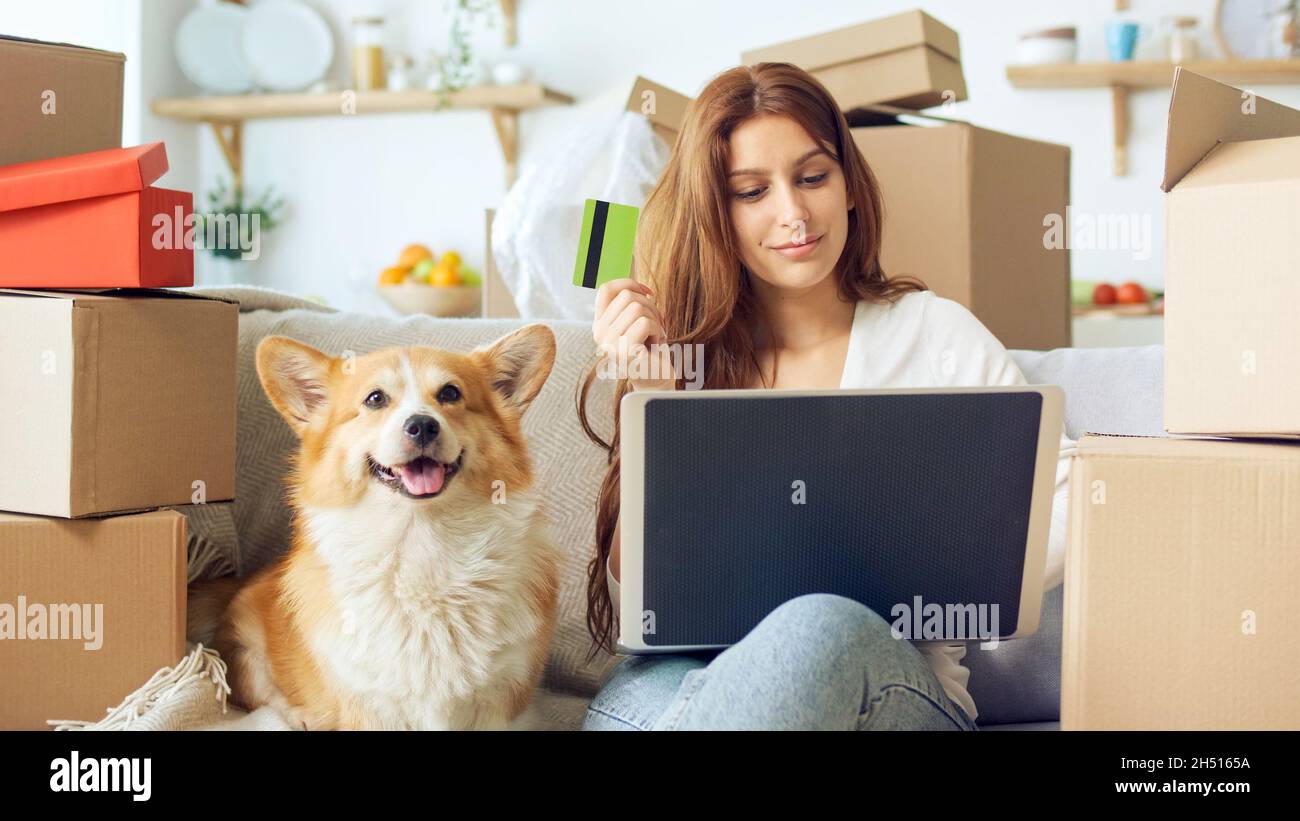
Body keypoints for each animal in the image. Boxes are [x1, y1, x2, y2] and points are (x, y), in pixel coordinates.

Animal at [187, 323, 559, 727]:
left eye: (450, 393)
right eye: (375, 399)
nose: (422, 425)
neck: (420, 540)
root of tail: (245, 580)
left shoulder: (502, 698)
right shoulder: (367, 703)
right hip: (247, 647)